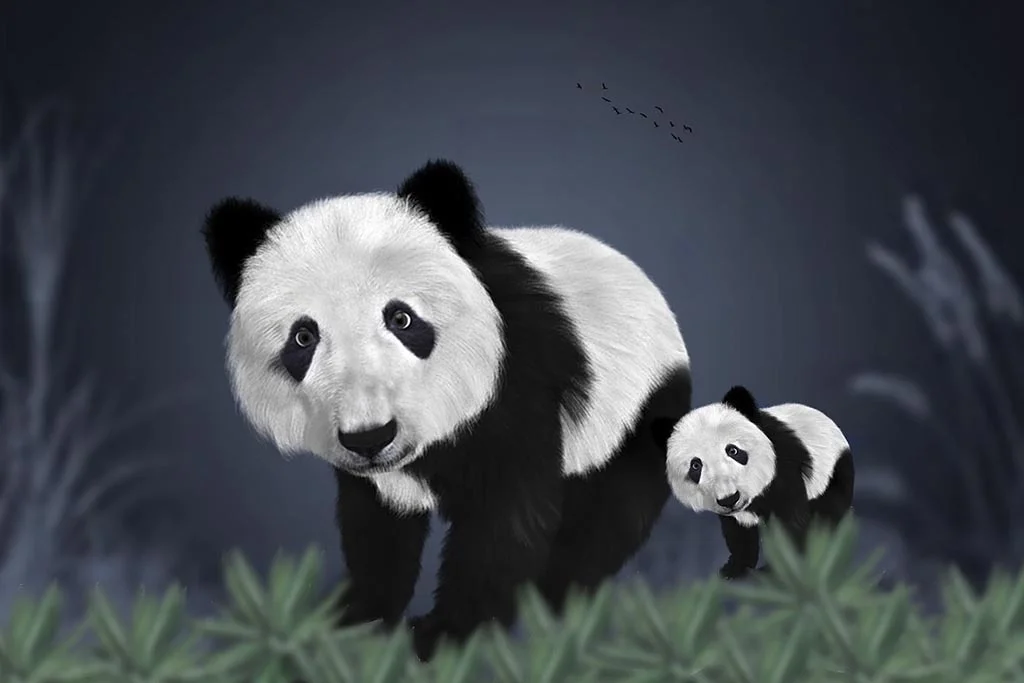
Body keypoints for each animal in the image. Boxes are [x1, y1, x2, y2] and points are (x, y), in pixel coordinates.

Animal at [201, 159, 692, 660]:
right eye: (303, 337)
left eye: (401, 318)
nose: (370, 438)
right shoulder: (373, 476)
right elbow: (378, 528)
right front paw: (354, 621)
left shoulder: (520, 381)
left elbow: (505, 519)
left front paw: (446, 634)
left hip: (636, 409)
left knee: (609, 516)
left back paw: (555, 600)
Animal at [652, 385, 854, 580]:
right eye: (696, 465)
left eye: (733, 450)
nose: (729, 499)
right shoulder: (735, 514)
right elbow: (739, 532)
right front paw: (734, 569)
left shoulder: (785, 469)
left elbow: (791, 523)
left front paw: (779, 571)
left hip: (832, 472)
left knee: (828, 511)